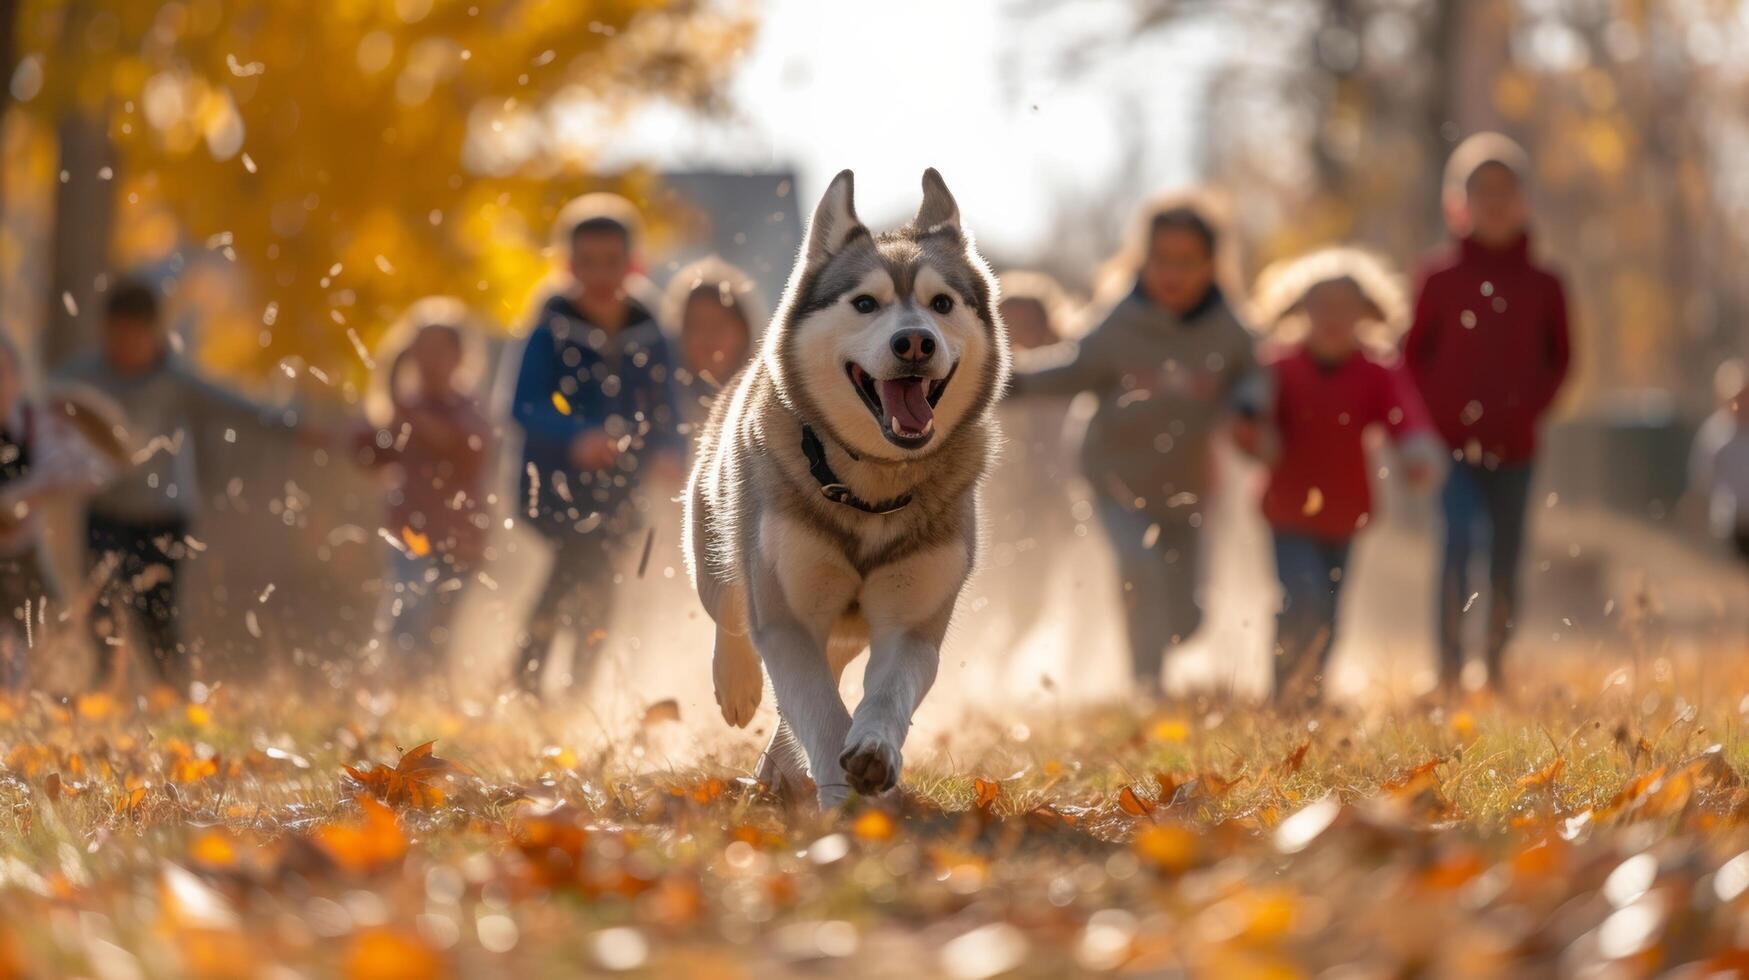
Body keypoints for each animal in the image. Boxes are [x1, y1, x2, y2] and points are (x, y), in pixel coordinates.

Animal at [682, 170, 1014, 805]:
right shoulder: (787, 613)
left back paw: (781, 766)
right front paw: (840, 797)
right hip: (720, 555)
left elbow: (884, 693)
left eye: (941, 303)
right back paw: (736, 683)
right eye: (865, 303)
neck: (871, 487)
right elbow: (816, 707)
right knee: (730, 614)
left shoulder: (912, 619)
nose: (915, 342)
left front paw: (872, 753)